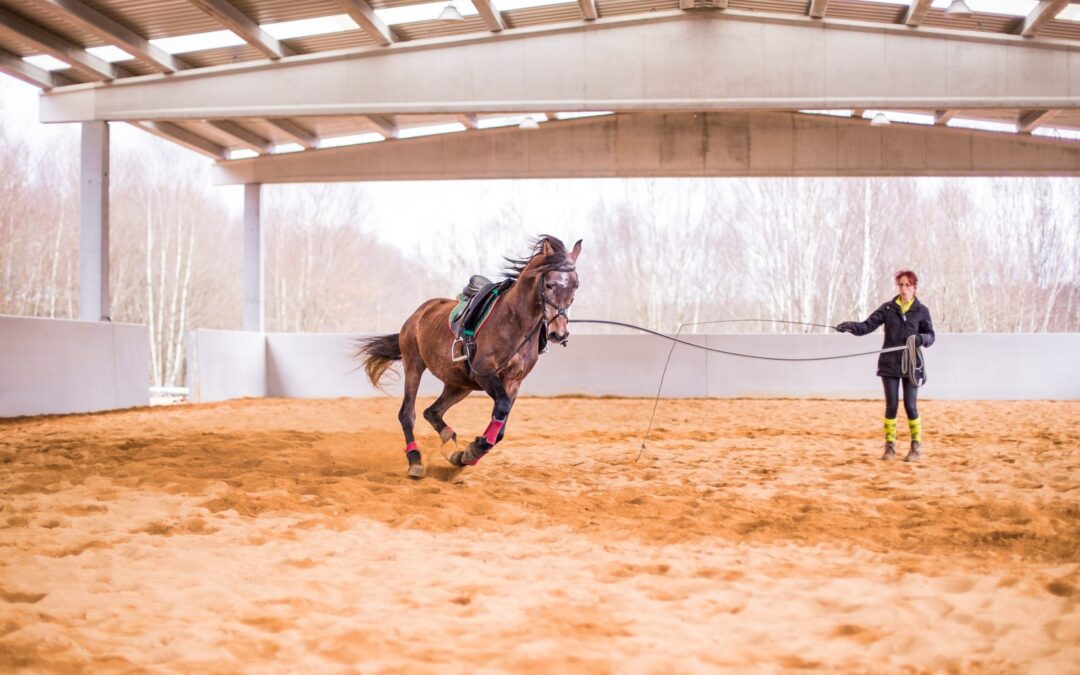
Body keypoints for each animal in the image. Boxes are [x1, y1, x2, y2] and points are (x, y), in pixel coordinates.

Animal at [355, 235, 582, 479]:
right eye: (549, 284)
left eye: (575, 285)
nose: (559, 333)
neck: (515, 322)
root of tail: (419, 313)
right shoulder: (485, 373)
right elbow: (501, 408)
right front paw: (473, 450)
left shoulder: (514, 382)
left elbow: (500, 426)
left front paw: (465, 454)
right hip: (414, 364)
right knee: (408, 413)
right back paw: (415, 460)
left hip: (459, 384)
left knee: (432, 411)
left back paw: (447, 436)